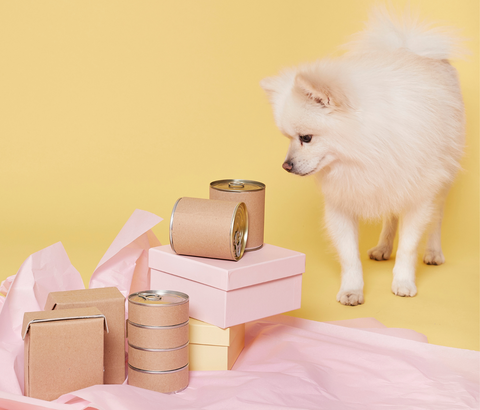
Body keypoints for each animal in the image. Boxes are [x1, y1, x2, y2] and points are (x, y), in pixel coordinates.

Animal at [260, 8, 466, 306]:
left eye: (306, 138)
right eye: (288, 138)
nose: (286, 165)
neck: (365, 151)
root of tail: (409, 48)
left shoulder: (417, 193)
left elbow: (408, 246)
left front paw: (403, 282)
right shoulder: (342, 201)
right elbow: (349, 255)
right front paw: (352, 289)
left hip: (441, 177)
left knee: (436, 217)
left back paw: (433, 252)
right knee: (391, 217)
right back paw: (383, 247)